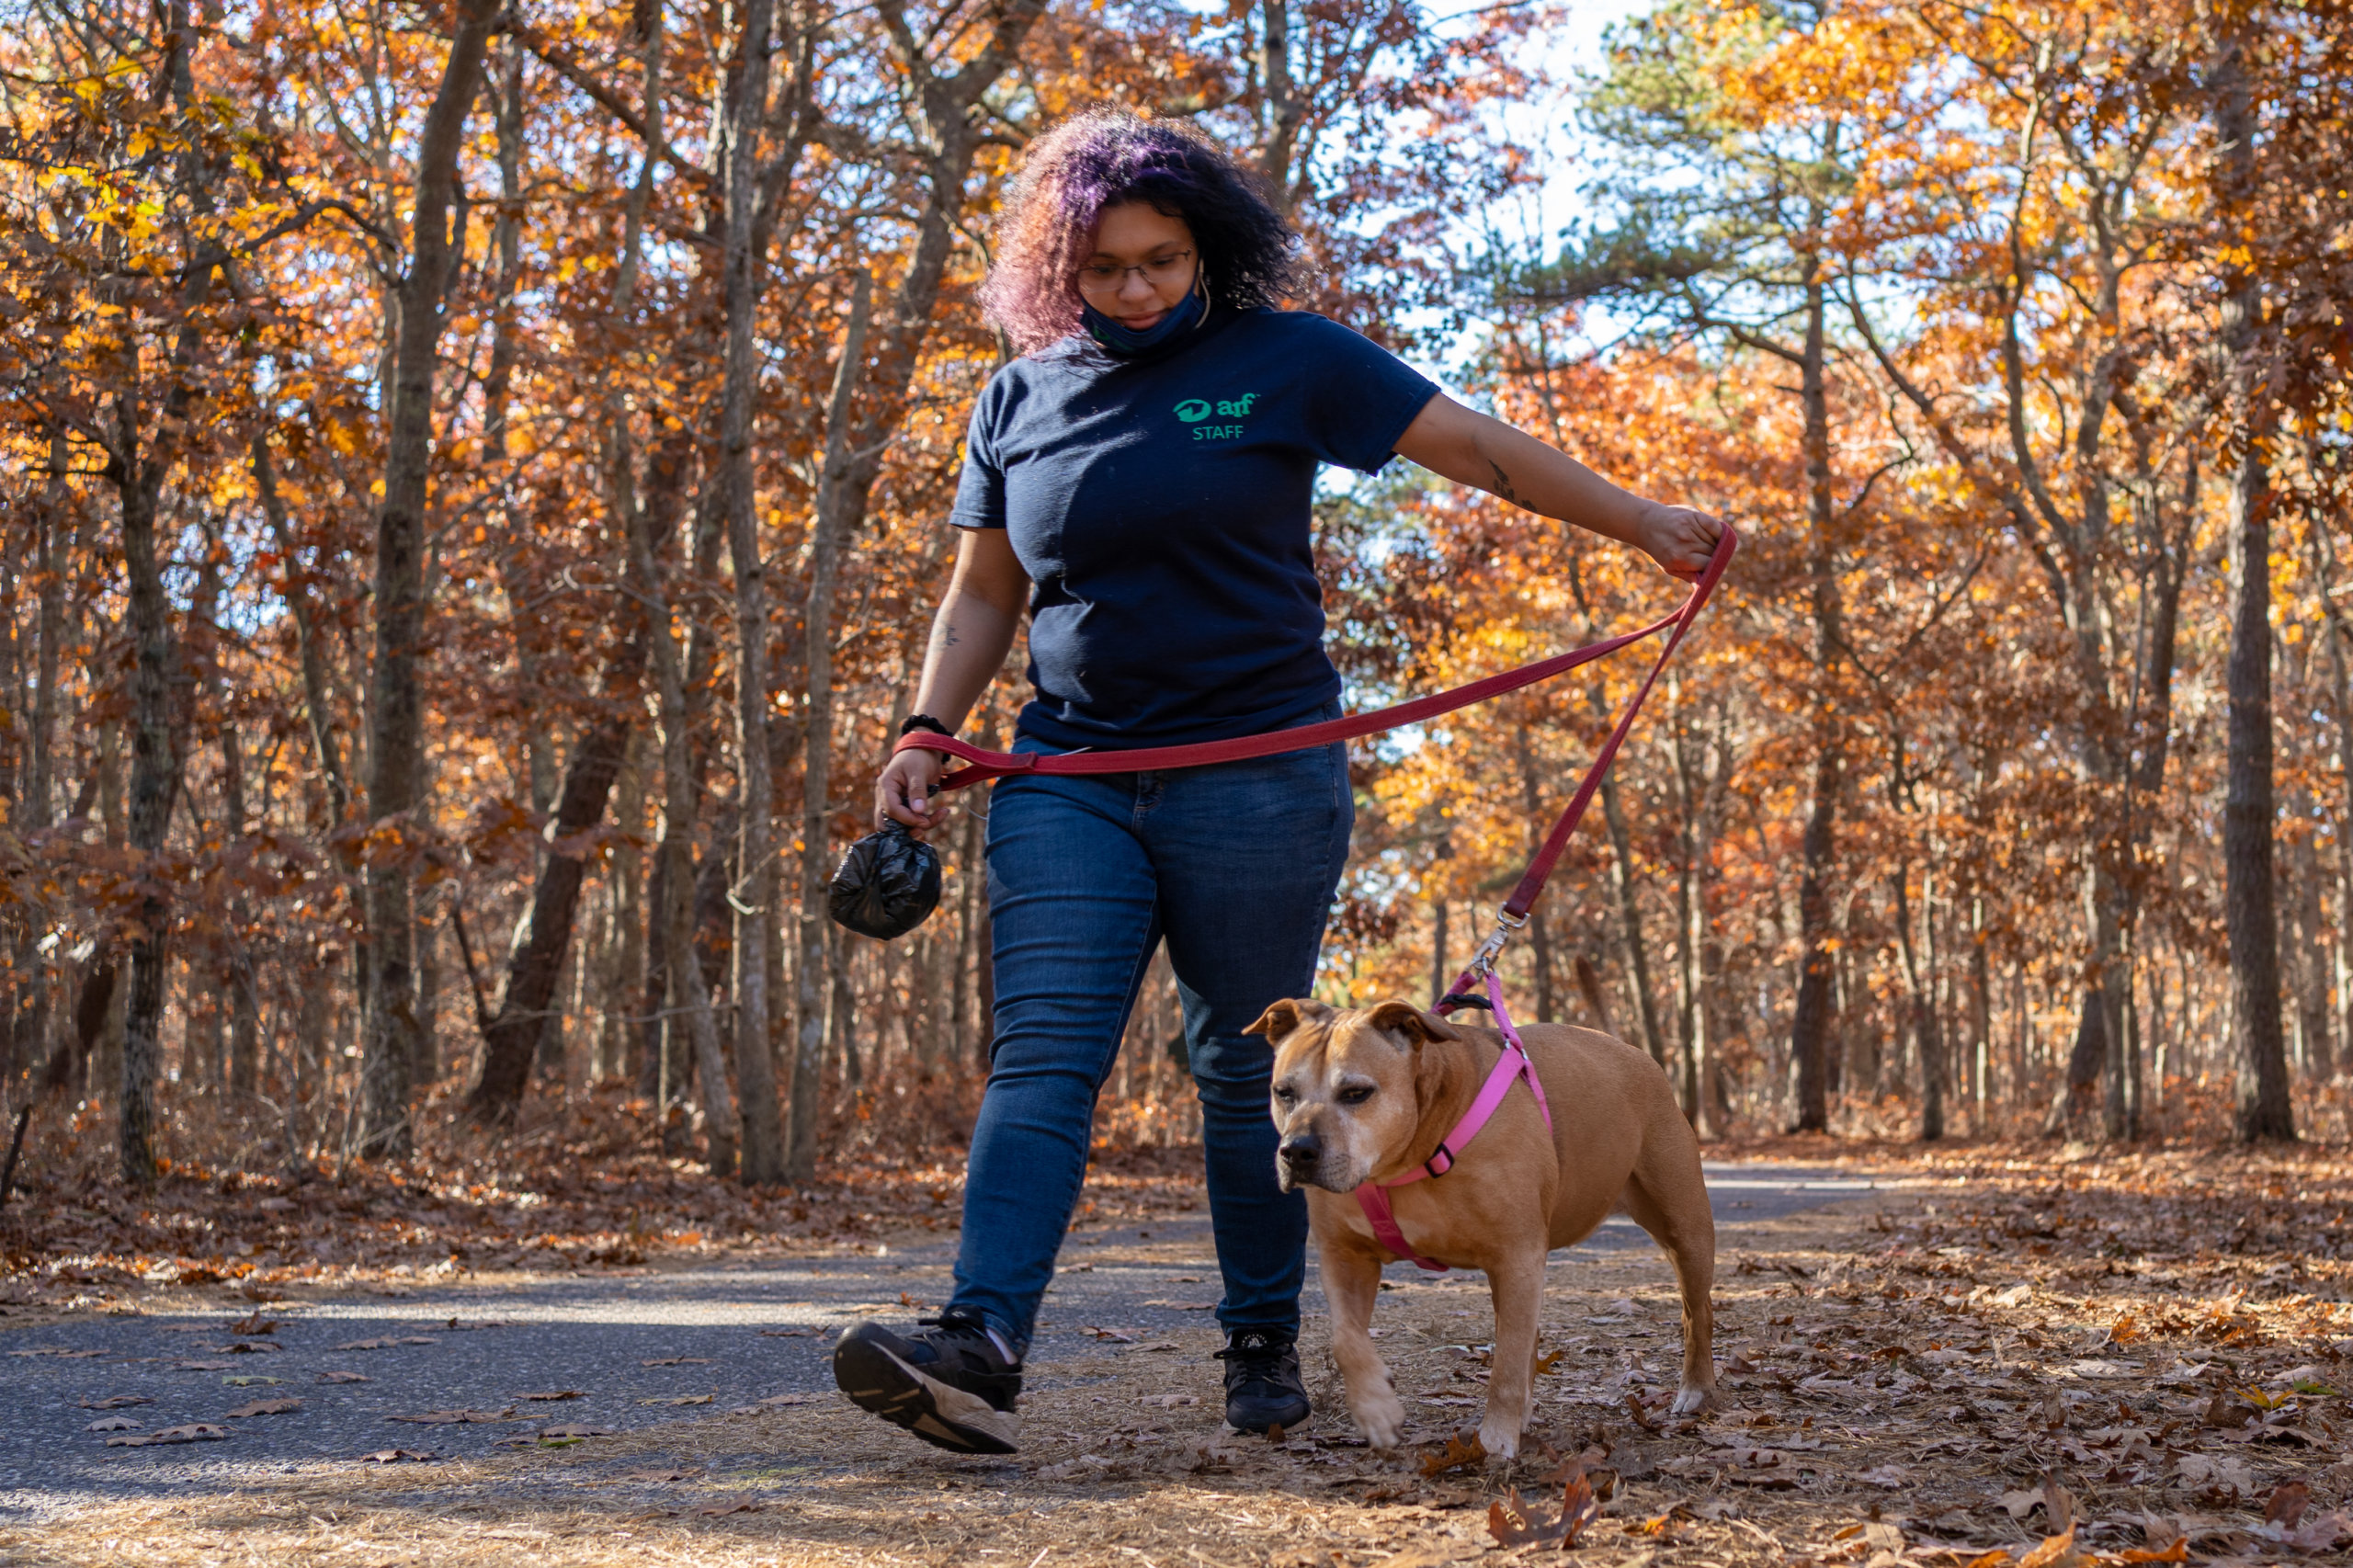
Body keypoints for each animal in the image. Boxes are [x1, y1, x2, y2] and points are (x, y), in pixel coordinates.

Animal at [1251, 993, 1712, 1460]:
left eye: (1356, 1093)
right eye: (1283, 1093)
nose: (1296, 1151)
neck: (1407, 1157)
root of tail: (1636, 1054)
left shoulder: (1518, 1257)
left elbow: (1505, 1364)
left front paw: (1496, 1441)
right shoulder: (1344, 1255)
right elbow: (1346, 1340)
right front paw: (1376, 1408)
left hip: (1686, 1233)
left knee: (1697, 1312)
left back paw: (1697, 1389)